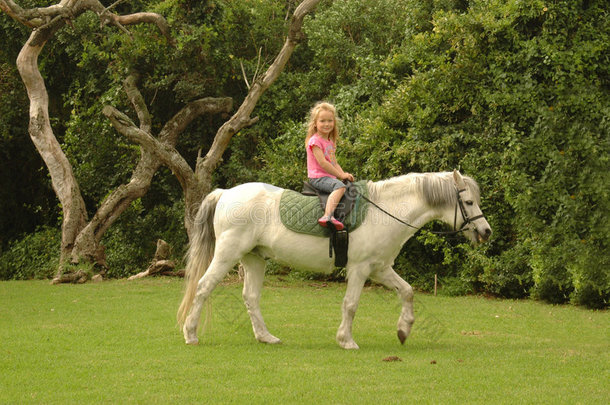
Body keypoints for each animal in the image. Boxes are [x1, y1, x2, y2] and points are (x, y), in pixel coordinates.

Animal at [176, 169, 490, 348]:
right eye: (469, 202)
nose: (486, 231)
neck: (385, 211)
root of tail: (225, 193)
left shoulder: (380, 269)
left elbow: (408, 292)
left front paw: (403, 330)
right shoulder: (360, 269)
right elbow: (350, 305)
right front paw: (346, 340)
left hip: (254, 259)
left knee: (251, 298)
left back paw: (266, 337)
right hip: (227, 254)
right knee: (203, 288)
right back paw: (190, 334)